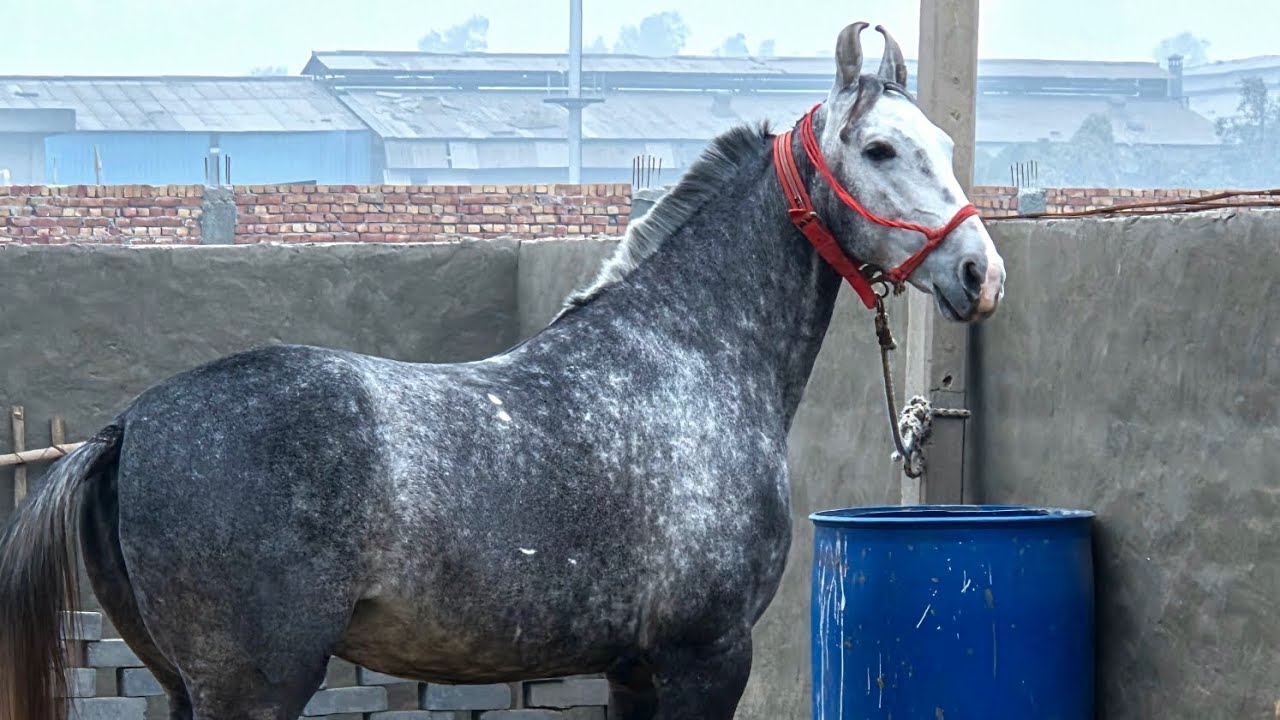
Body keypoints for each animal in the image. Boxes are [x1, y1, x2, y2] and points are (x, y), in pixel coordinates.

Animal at [0, 21, 1004, 720]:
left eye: (948, 147)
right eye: (879, 149)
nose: (979, 274)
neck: (686, 361)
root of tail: (134, 423)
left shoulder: (635, 668)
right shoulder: (707, 654)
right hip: (255, 685)